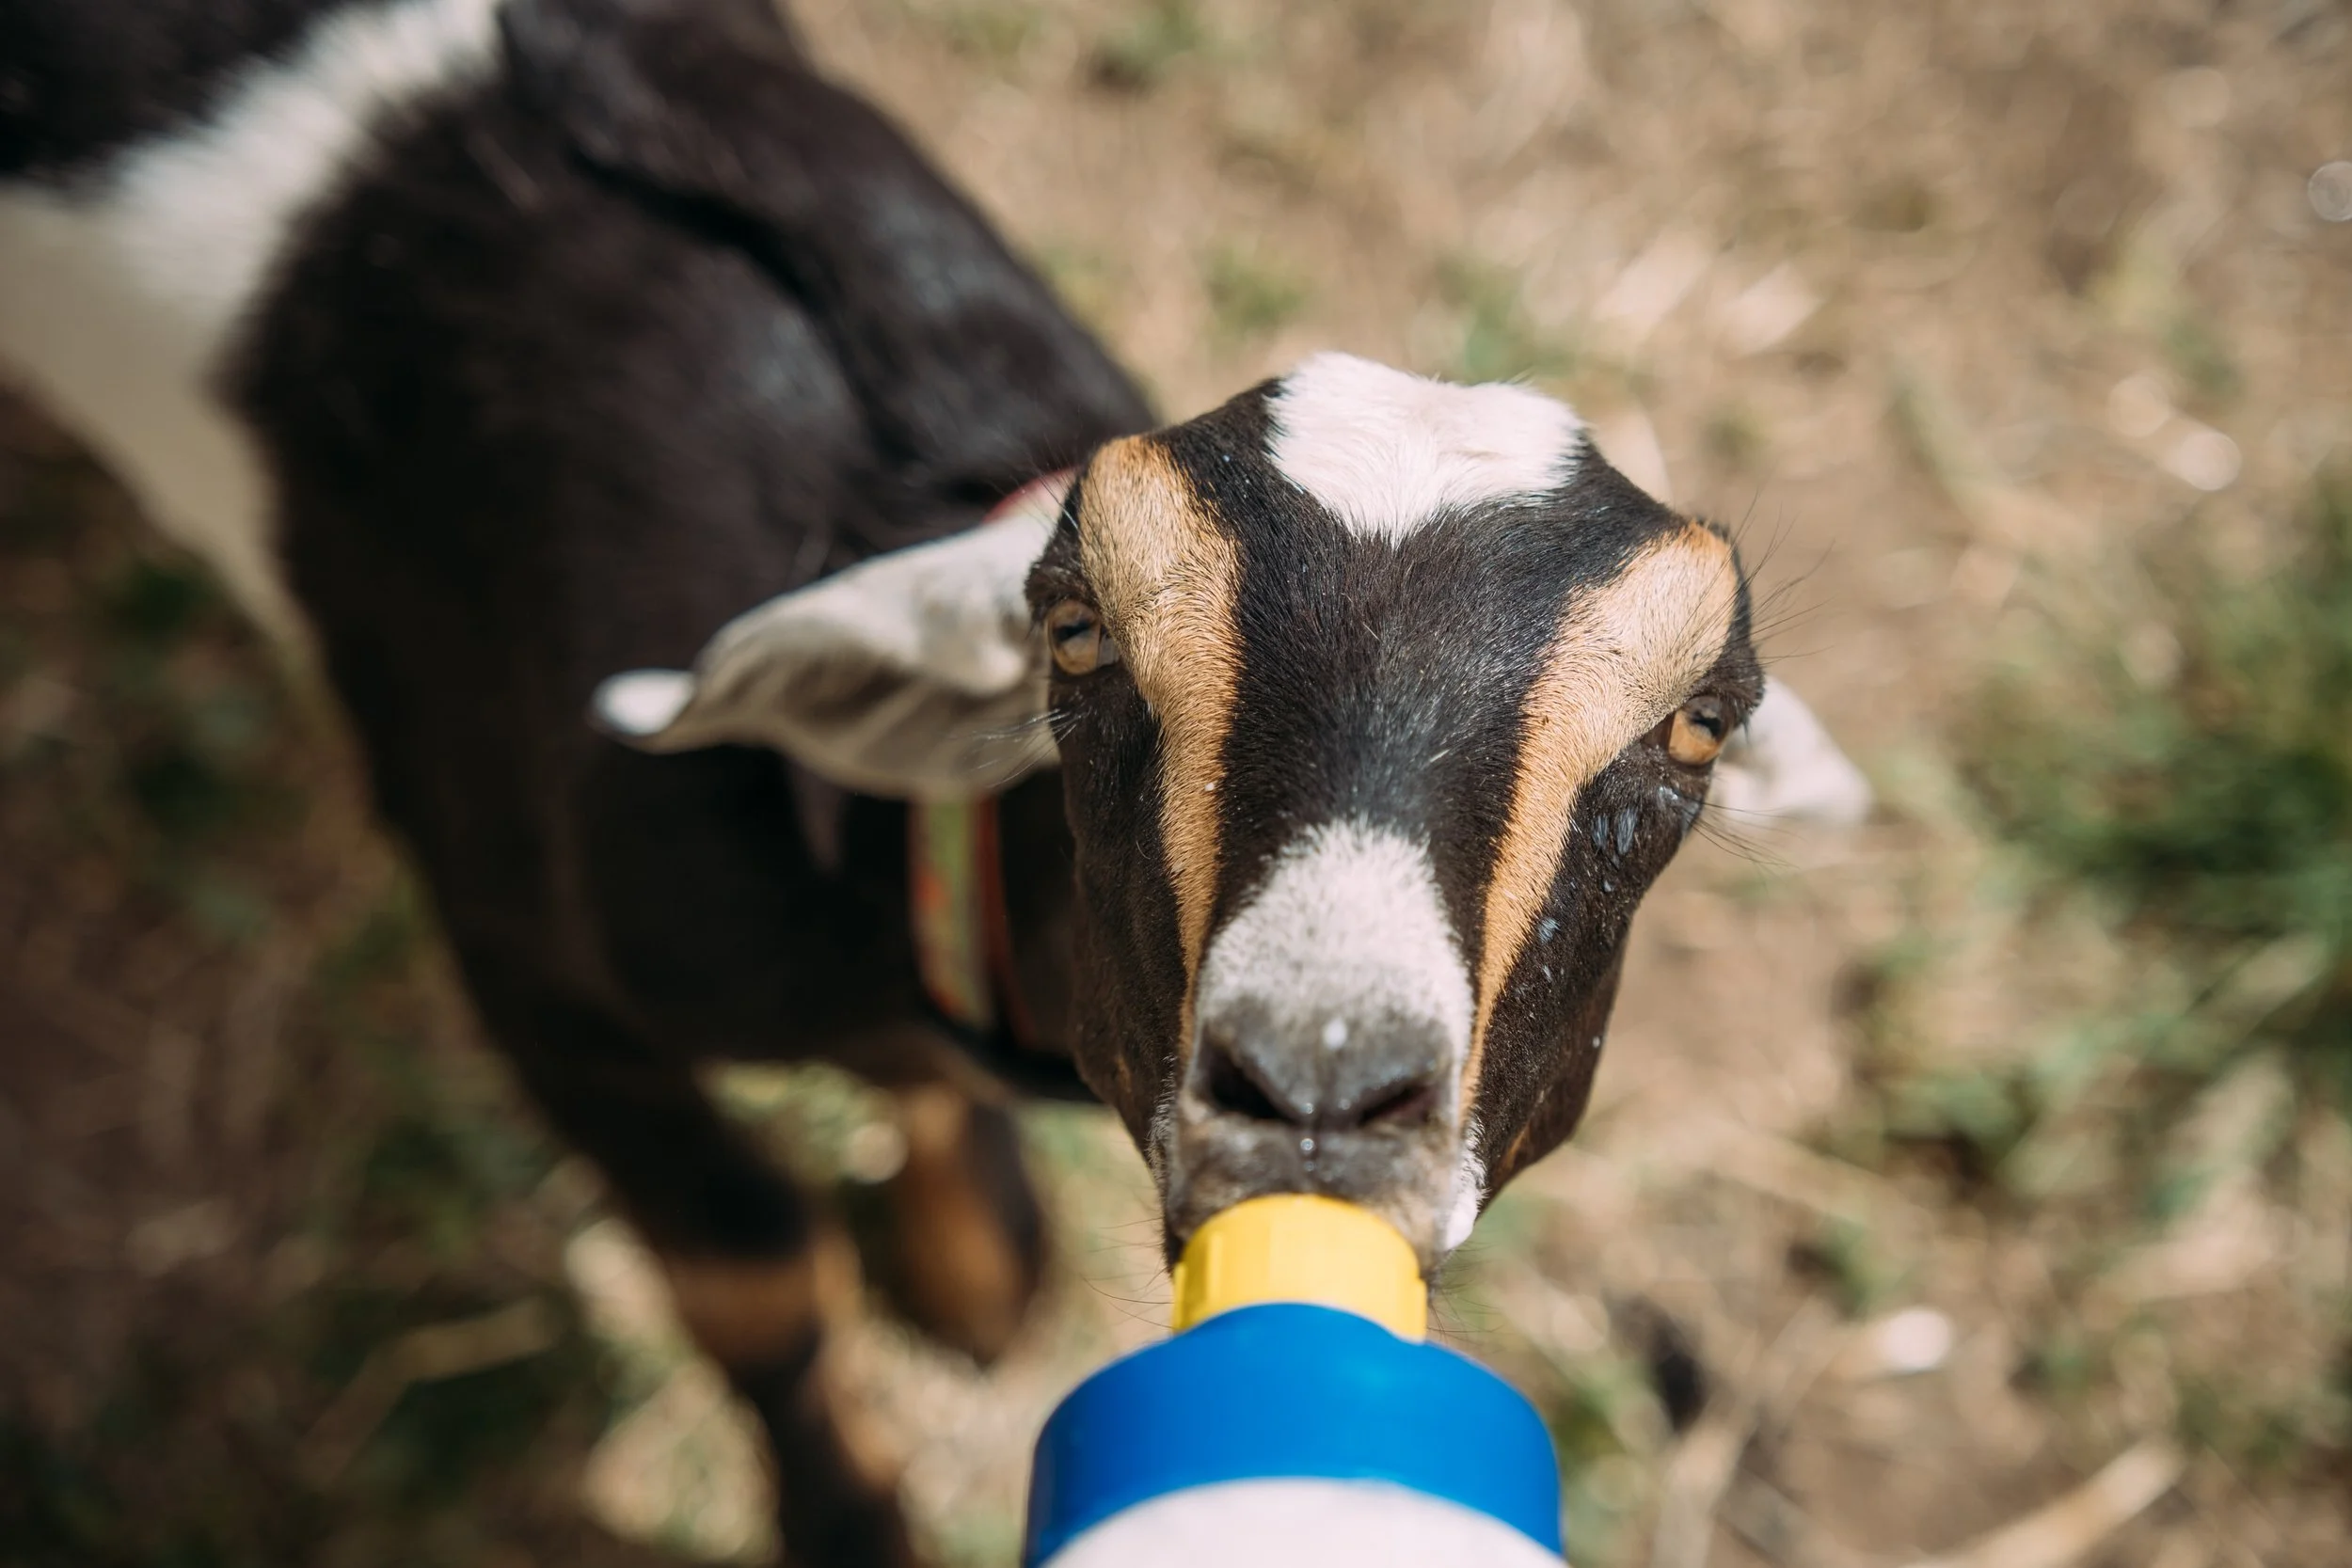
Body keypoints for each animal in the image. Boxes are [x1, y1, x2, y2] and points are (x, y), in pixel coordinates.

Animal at [0, 1, 1867, 1562]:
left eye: (1699, 725)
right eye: (1077, 631)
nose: (1321, 1090)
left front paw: (978, 1268)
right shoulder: (518, 945)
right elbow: (751, 1269)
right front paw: (855, 1521)